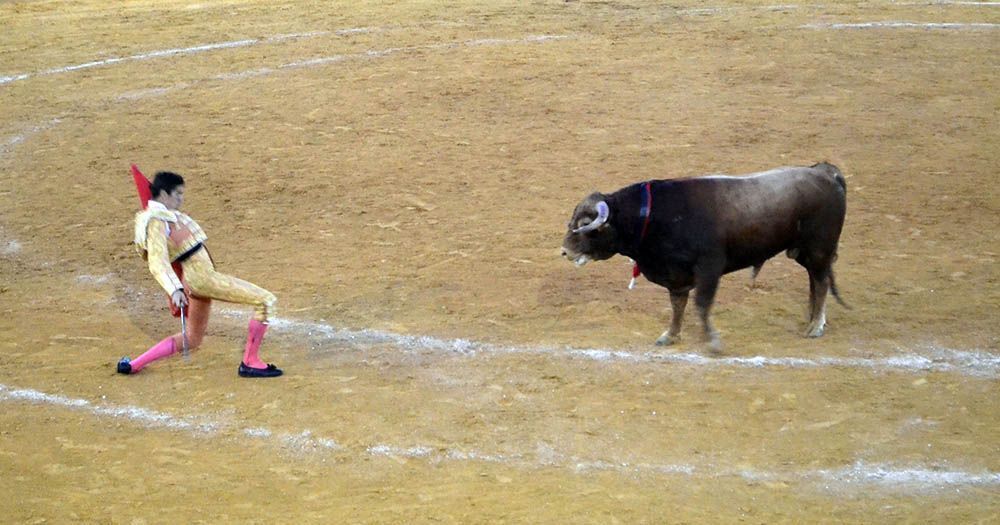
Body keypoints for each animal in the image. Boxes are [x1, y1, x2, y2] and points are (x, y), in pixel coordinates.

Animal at [561, 162, 847, 352]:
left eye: (586, 225)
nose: (564, 251)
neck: (651, 216)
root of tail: (826, 172)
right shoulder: (676, 276)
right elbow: (678, 305)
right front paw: (670, 335)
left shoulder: (709, 268)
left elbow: (701, 303)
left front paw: (713, 341)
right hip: (806, 252)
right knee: (814, 281)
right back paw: (813, 319)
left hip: (819, 249)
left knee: (821, 282)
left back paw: (815, 326)